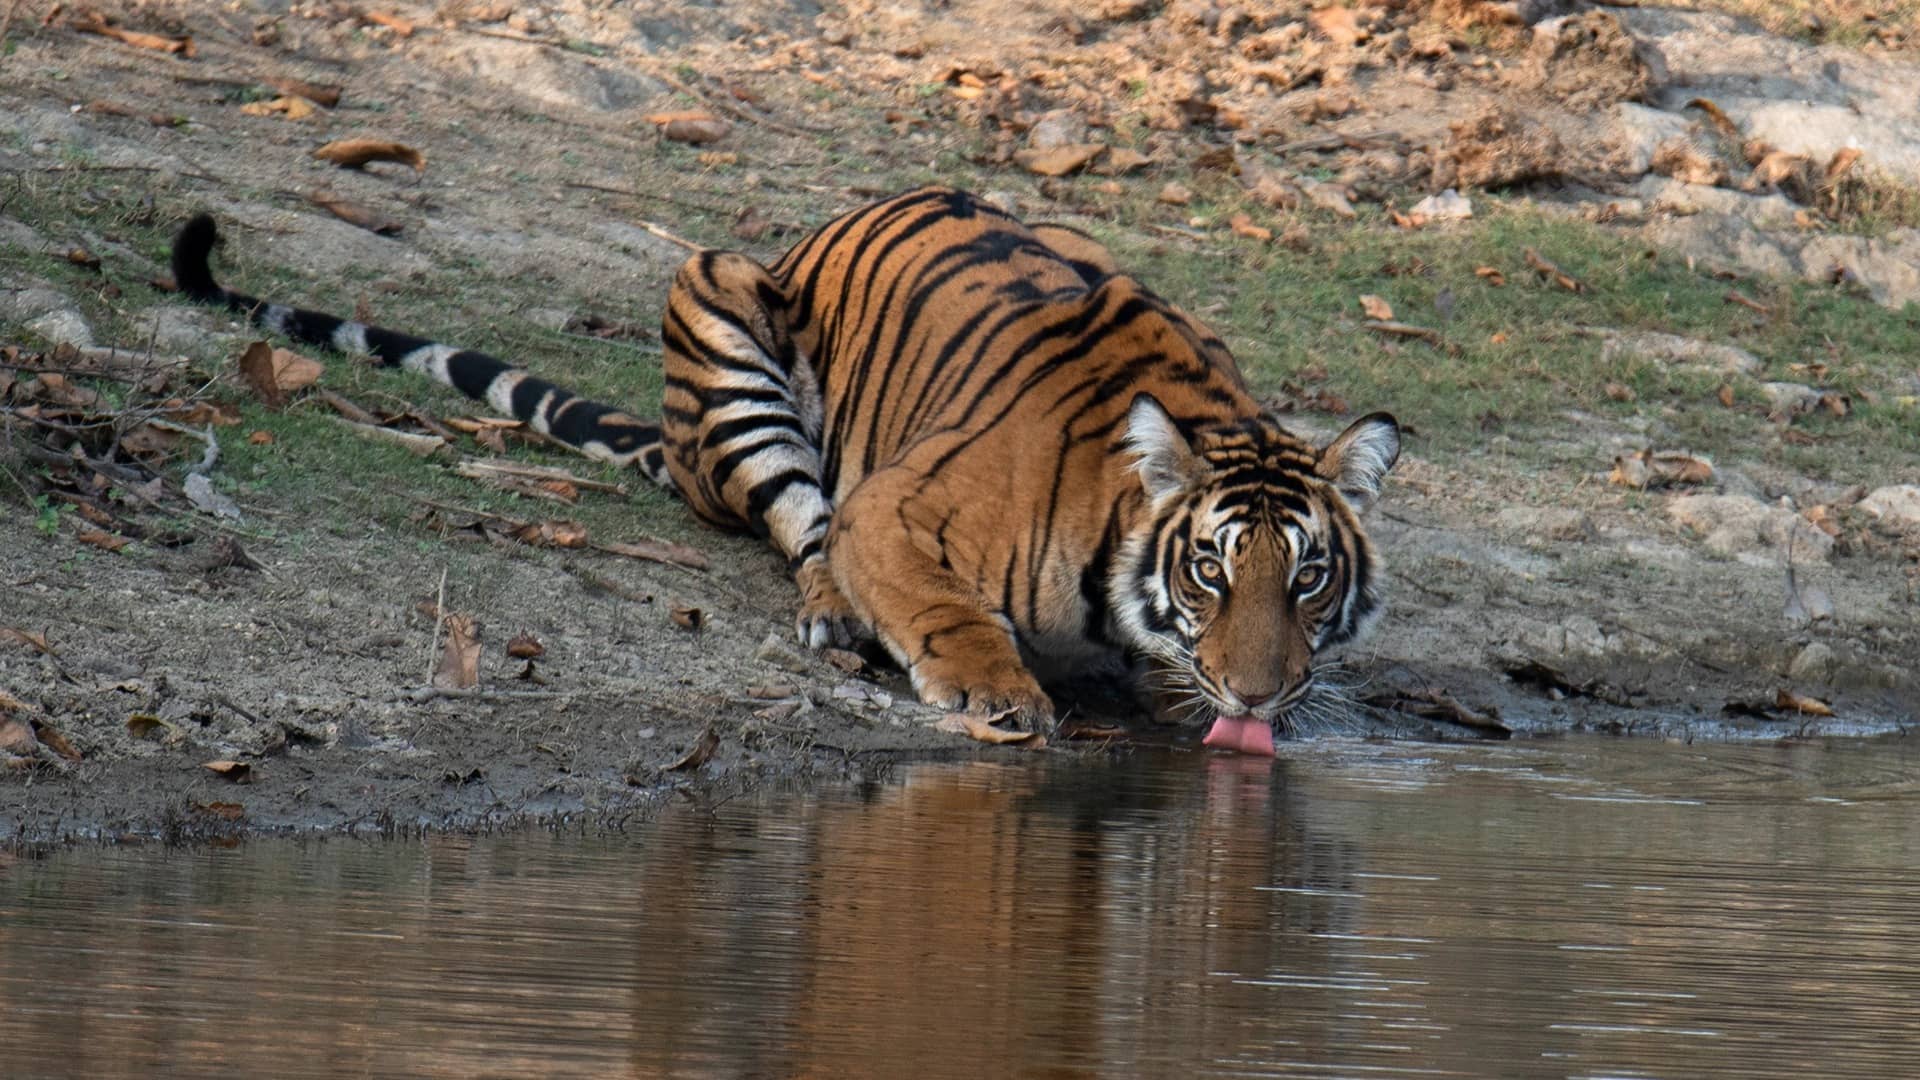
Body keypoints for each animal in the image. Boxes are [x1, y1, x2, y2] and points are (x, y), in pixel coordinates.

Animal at [170, 186, 1399, 749]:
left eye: (1307, 578)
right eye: (1210, 570)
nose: (1261, 694)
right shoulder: (894, 509)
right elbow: (943, 608)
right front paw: (996, 690)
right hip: (721, 317)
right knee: (801, 525)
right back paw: (838, 613)